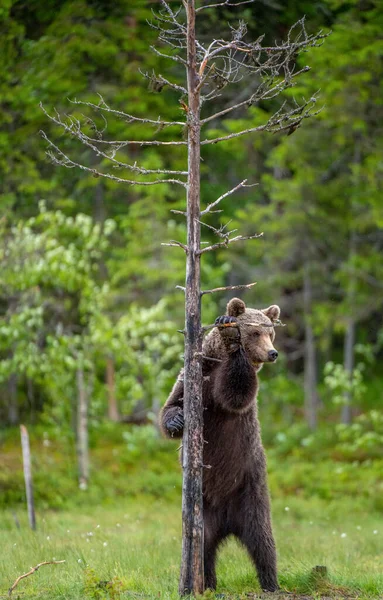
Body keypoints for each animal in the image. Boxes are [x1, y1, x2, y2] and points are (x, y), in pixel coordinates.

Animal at [160, 298, 280, 592]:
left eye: (270, 332)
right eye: (256, 332)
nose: (273, 353)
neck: (216, 362)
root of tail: (228, 522)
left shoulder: (230, 395)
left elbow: (236, 392)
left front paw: (231, 333)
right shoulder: (192, 378)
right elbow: (170, 406)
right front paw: (176, 420)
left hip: (250, 489)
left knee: (262, 540)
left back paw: (270, 583)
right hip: (202, 513)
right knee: (203, 548)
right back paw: (205, 584)